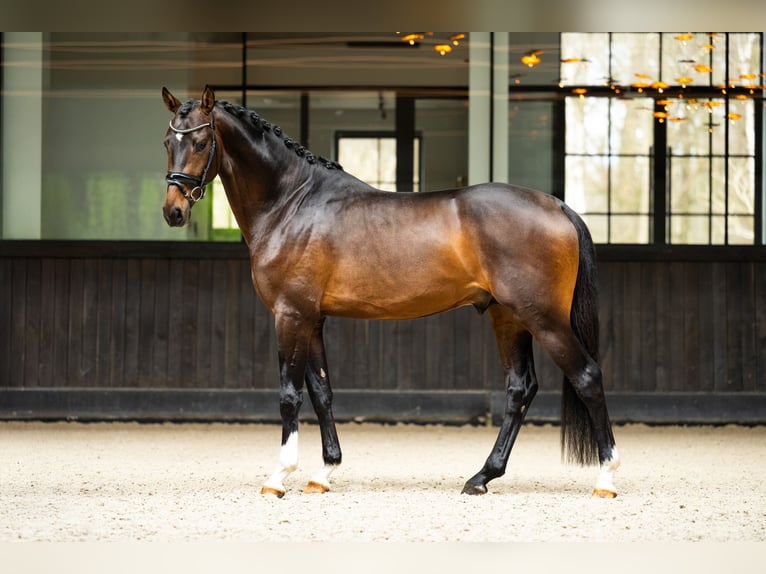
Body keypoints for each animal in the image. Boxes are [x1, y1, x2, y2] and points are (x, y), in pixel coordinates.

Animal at [161, 85, 620, 498]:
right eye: (168, 141)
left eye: (201, 142)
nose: (173, 211)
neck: (293, 203)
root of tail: (557, 205)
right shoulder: (312, 318)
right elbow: (322, 392)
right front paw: (324, 473)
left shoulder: (290, 315)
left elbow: (290, 396)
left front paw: (278, 477)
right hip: (507, 317)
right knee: (520, 388)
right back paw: (481, 477)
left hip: (543, 318)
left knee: (587, 376)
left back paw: (605, 479)